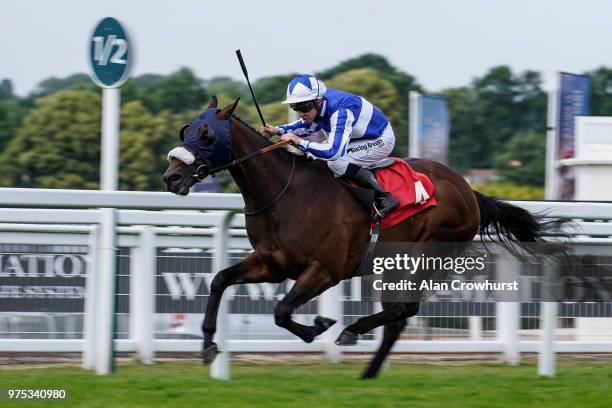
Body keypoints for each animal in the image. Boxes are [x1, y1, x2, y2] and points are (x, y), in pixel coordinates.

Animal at [163, 96, 556, 380]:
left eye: (207, 134)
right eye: (186, 130)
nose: (171, 177)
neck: (285, 193)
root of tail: (469, 191)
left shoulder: (326, 270)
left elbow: (282, 310)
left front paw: (318, 327)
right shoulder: (272, 265)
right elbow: (219, 281)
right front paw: (208, 346)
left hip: (423, 256)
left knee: (404, 309)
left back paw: (352, 331)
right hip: (396, 265)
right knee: (398, 319)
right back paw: (368, 373)